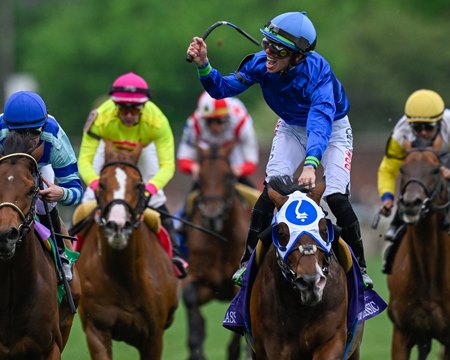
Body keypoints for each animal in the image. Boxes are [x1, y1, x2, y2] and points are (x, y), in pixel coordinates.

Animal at [74, 141, 178, 360]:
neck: (124, 277)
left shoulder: (154, 336)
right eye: (102, 184)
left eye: (138, 185)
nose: (118, 225)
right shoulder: (96, 329)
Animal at [184, 142, 253, 358]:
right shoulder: (198, 278)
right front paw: (196, 351)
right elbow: (190, 299)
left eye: (228, 176)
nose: (212, 214)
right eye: (199, 177)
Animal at [248, 178, 364, 360]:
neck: (301, 310)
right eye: (281, 233)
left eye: (324, 230)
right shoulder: (274, 346)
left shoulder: (331, 340)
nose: (311, 282)